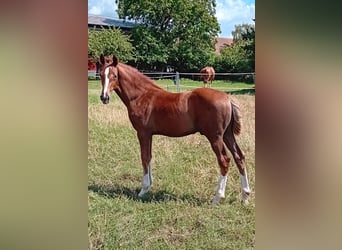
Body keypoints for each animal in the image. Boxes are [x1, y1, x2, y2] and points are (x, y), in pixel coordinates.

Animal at [99, 55, 251, 205]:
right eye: (101, 74)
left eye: (114, 76)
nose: (104, 97)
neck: (141, 96)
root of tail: (228, 98)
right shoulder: (149, 134)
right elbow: (149, 157)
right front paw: (149, 186)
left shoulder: (143, 133)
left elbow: (144, 157)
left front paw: (143, 190)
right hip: (227, 135)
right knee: (239, 157)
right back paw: (245, 196)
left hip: (215, 137)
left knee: (224, 160)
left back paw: (217, 198)